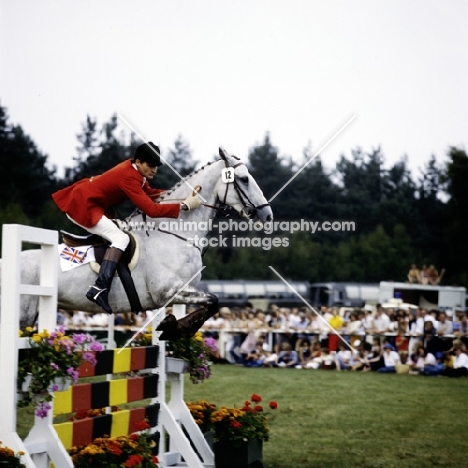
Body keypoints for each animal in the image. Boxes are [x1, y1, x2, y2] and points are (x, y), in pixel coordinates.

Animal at [0, 148, 272, 330]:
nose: (267, 215)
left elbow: (210, 305)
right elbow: (213, 302)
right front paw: (174, 330)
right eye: (244, 179)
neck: (175, 233)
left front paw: (172, 328)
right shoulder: (168, 291)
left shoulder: (181, 291)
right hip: (23, 315)